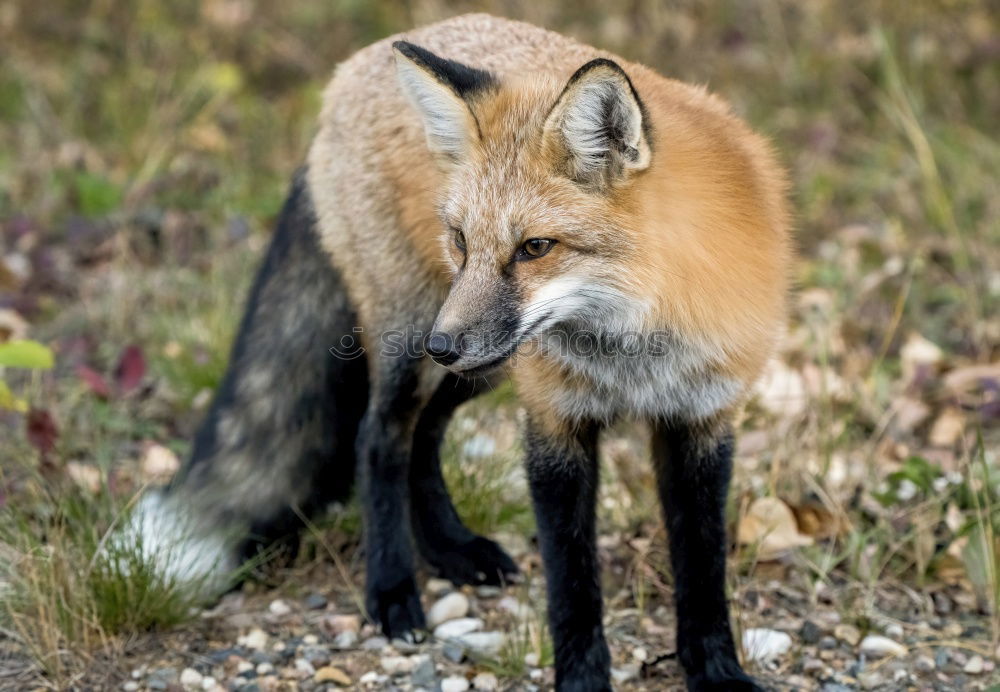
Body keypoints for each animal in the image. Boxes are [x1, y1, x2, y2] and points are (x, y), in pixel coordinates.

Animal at [123, 13, 788, 688]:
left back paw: (449, 550)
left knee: (425, 435)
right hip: (418, 347)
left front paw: (717, 671)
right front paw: (581, 678)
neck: (634, 351)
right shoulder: (554, 423)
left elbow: (702, 569)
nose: (440, 344)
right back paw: (392, 588)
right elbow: (572, 588)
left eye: (535, 247)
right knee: (380, 438)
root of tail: (349, 71)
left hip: (480, 368)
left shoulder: (703, 418)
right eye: (463, 240)